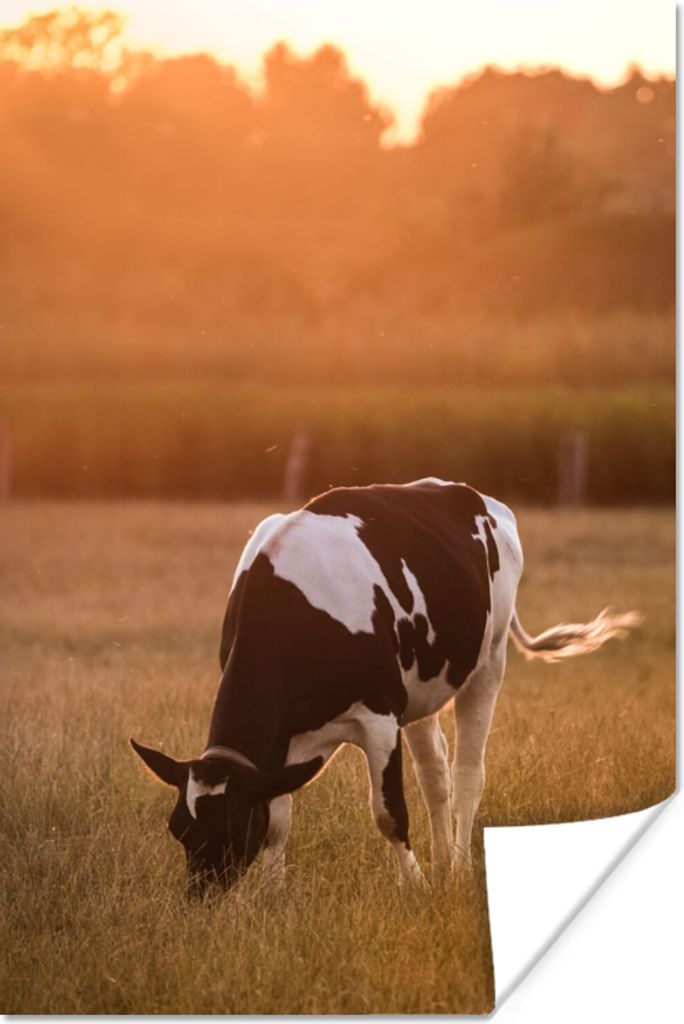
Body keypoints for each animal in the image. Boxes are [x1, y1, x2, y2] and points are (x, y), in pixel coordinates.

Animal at [131, 478, 639, 897]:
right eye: (177, 827)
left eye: (232, 827)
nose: (201, 897)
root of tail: (473, 494)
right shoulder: (285, 743)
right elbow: (278, 815)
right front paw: (273, 896)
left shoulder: (378, 716)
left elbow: (389, 812)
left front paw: (413, 887)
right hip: (421, 691)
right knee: (435, 775)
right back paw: (443, 864)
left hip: (488, 662)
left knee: (467, 773)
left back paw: (458, 868)